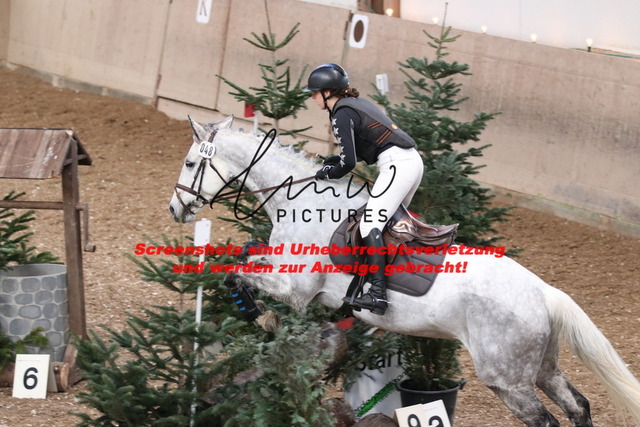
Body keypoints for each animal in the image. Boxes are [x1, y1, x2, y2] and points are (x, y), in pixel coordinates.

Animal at [168, 115, 640, 427]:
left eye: (191, 164)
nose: (176, 208)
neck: (301, 202)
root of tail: (543, 291)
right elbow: (245, 257)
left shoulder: (295, 289)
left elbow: (237, 271)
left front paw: (260, 316)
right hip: (541, 366)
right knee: (577, 405)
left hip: (506, 378)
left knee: (546, 420)